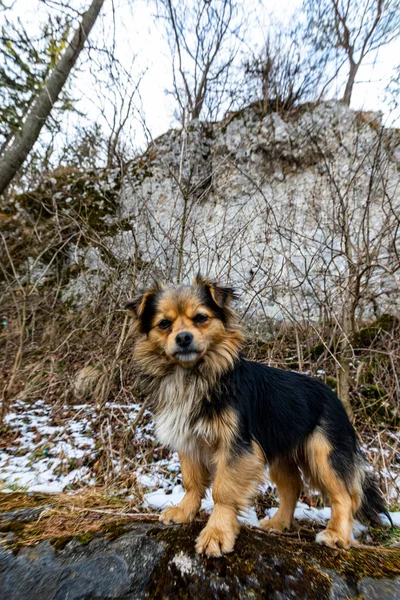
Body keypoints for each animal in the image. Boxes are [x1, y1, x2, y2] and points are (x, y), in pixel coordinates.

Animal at [126, 276, 392, 556]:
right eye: (164, 324)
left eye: (200, 318)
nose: (183, 338)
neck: (193, 376)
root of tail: (334, 396)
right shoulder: (190, 442)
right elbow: (192, 482)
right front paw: (184, 511)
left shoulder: (237, 448)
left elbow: (223, 491)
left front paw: (217, 533)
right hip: (281, 456)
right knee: (292, 489)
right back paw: (279, 523)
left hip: (323, 454)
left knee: (344, 496)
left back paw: (336, 535)